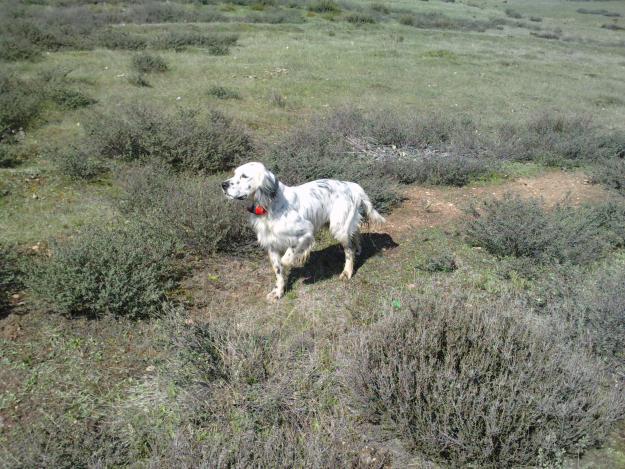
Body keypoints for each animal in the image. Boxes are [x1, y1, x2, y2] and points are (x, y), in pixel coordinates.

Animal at [222, 161, 382, 300]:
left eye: (244, 176)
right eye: (234, 174)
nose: (223, 184)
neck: (270, 205)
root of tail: (351, 186)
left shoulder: (305, 233)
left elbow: (286, 259)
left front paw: (297, 261)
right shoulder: (271, 245)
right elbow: (278, 270)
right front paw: (278, 292)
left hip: (339, 227)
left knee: (349, 250)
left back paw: (347, 272)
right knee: (356, 234)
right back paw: (358, 249)